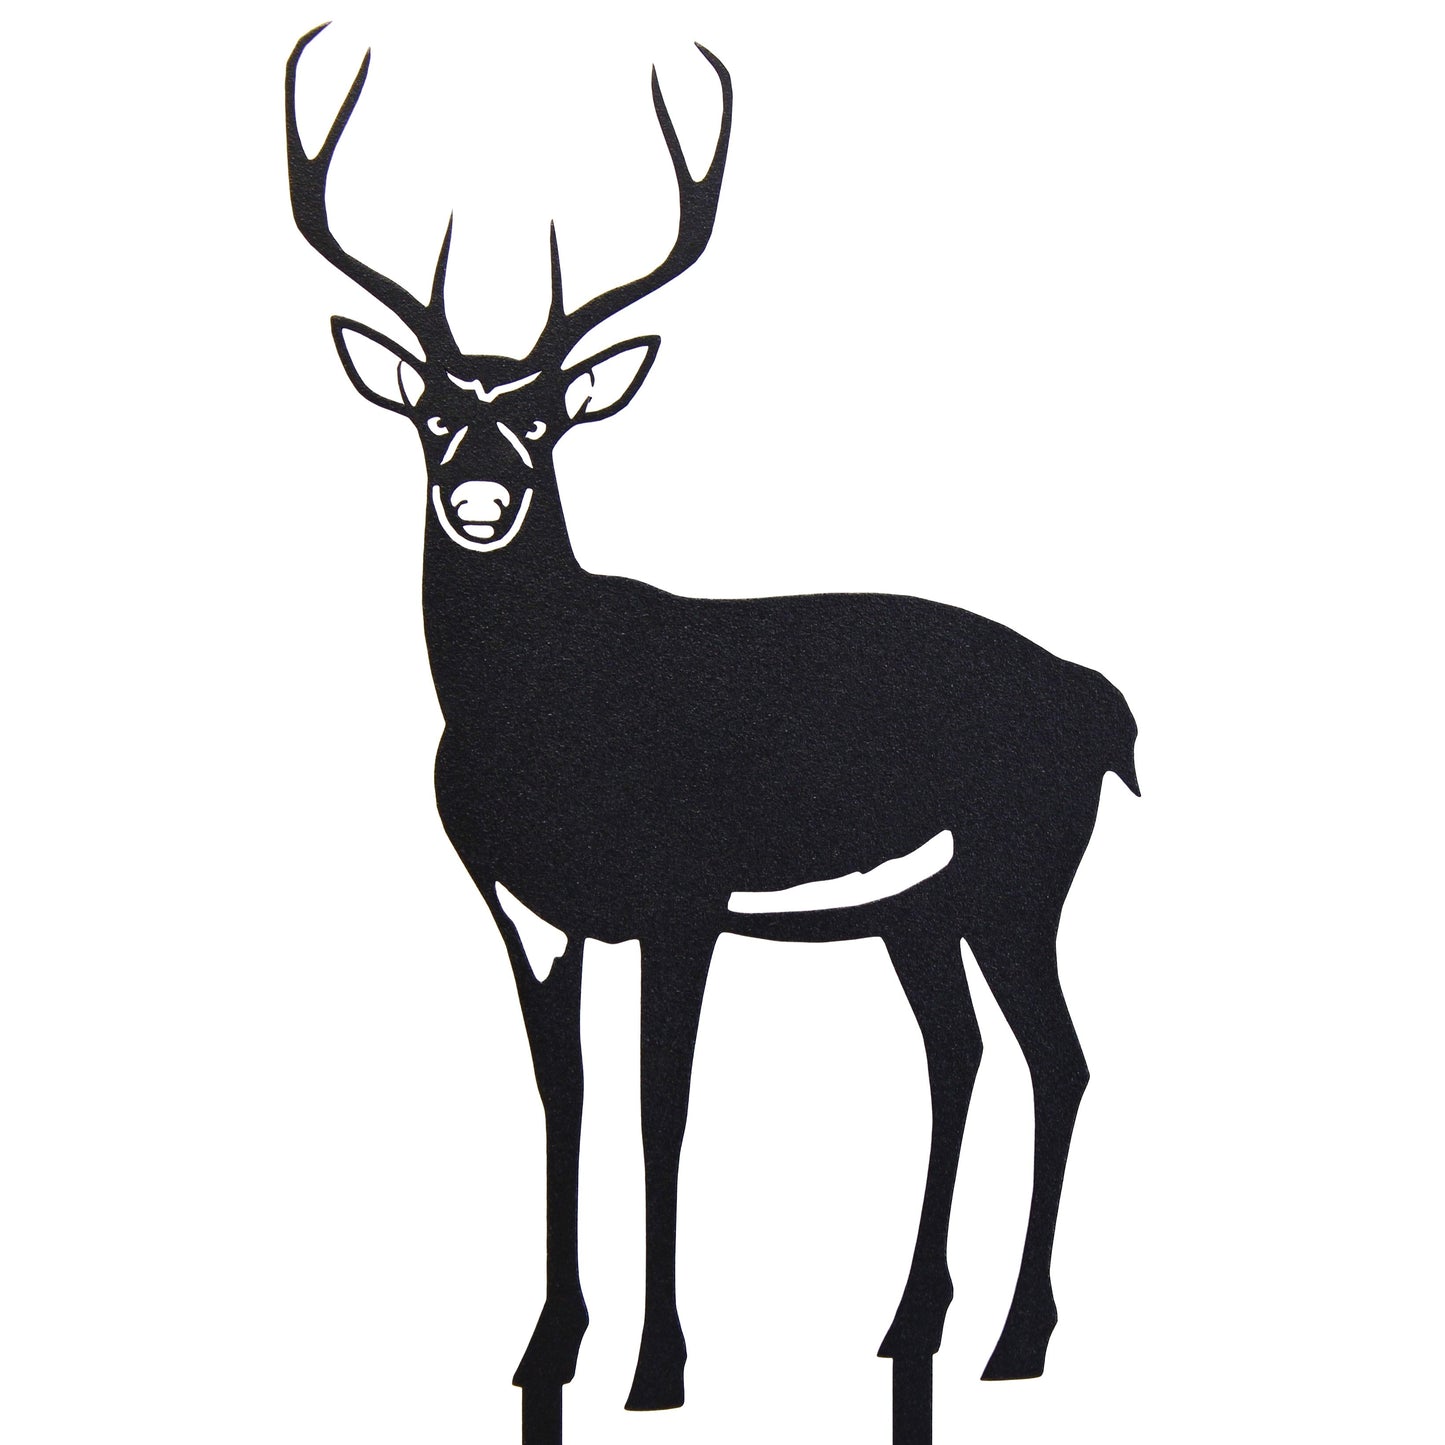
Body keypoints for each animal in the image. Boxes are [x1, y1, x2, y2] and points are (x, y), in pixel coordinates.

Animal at [286, 24, 1138, 1445]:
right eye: (432, 413)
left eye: (542, 416)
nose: (479, 497)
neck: (545, 720)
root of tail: (1097, 701)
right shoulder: (527, 913)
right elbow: (563, 1100)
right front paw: (542, 1349)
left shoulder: (679, 897)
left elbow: (660, 1107)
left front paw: (658, 1367)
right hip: (919, 908)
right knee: (958, 1054)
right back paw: (907, 1324)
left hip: (1020, 877)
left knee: (1059, 1061)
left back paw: (1015, 1341)